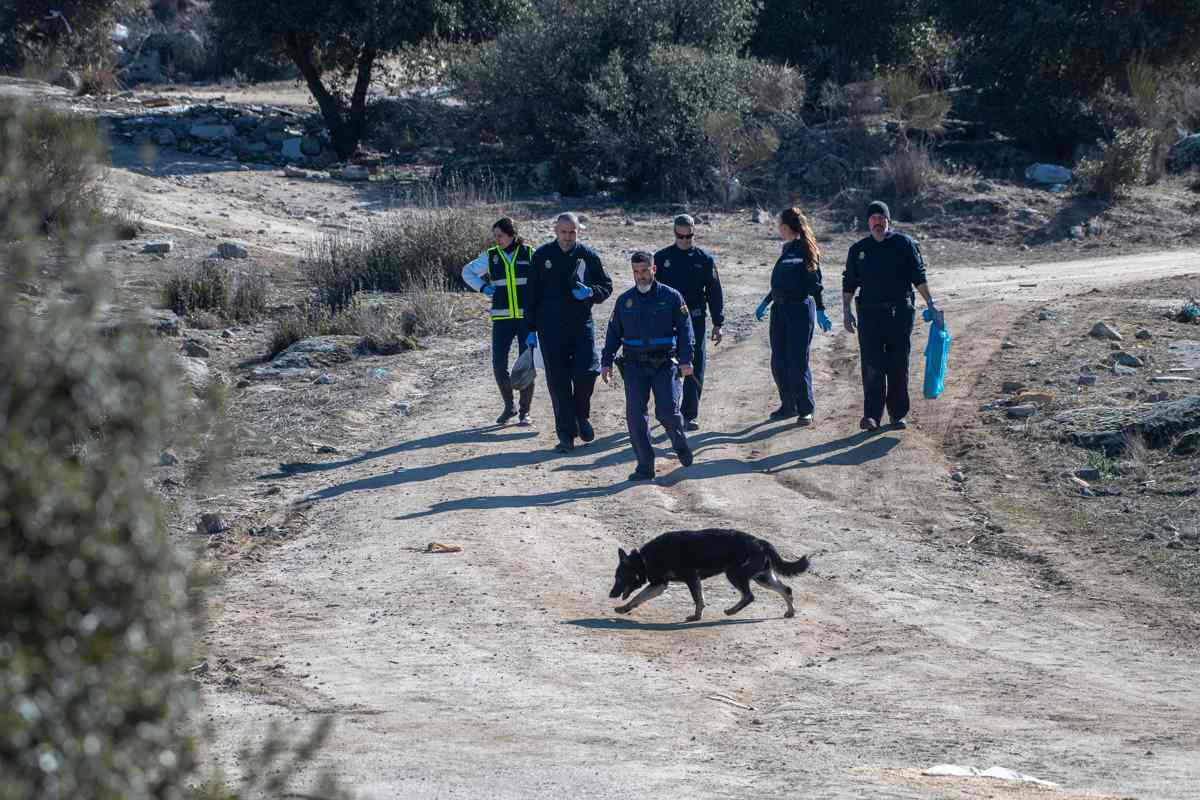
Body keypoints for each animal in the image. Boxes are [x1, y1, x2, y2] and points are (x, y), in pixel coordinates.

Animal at [609, 527, 806, 623]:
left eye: (619, 578)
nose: (611, 594)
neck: (644, 559)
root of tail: (760, 541)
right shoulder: (661, 584)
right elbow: (640, 597)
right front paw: (625, 608)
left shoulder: (689, 579)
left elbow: (697, 599)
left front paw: (696, 617)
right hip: (762, 578)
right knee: (786, 589)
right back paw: (790, 611)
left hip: (735, 574)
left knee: (749, 596)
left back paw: (732, 611)